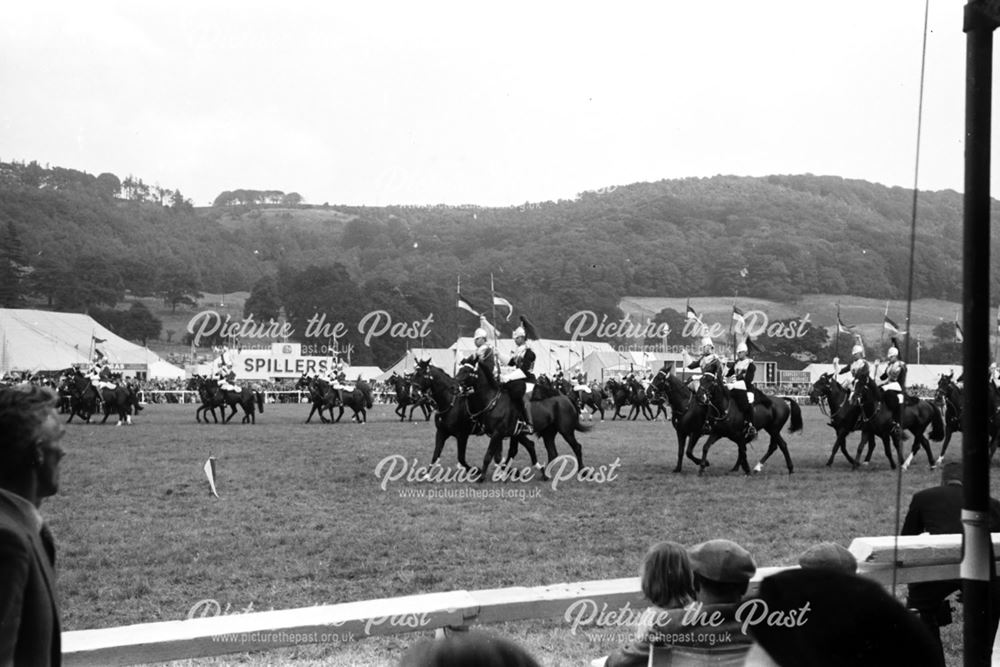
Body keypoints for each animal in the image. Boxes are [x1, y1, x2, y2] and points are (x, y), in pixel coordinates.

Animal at [452, 362, 588, 482]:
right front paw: (506, 473)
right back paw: (545, 475)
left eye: (466, 371)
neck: (494, 402)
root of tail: (567, 399)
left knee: (577, 447)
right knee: (552, 452)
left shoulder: (498, 433)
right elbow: (500, 456)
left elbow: (489, 455)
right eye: (459, 369)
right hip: (548, 433)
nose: (454, 387)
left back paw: (582, 472)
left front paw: (482, 477)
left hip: (566, 431)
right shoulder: (505, 435)